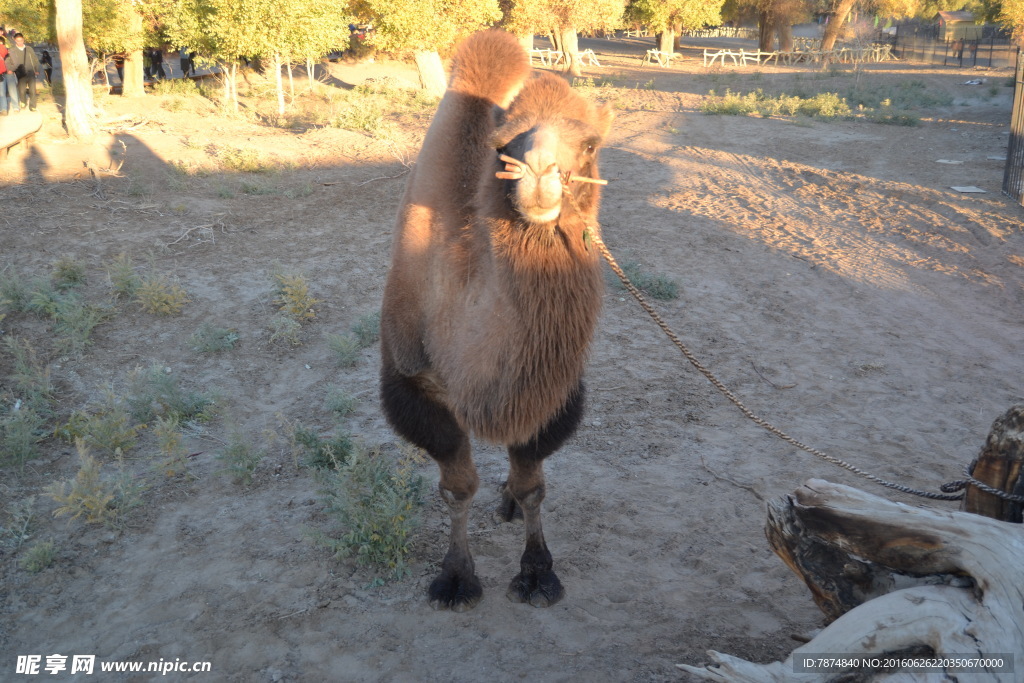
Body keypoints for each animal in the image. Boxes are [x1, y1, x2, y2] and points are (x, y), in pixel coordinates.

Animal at [380, 29, 610, 610]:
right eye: (503, 145)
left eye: (590, 144)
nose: (540, 176)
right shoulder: (412, 383)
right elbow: (457, 487)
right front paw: (456, 578)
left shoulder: (553, 390)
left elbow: (533, 483)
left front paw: (538, 573)